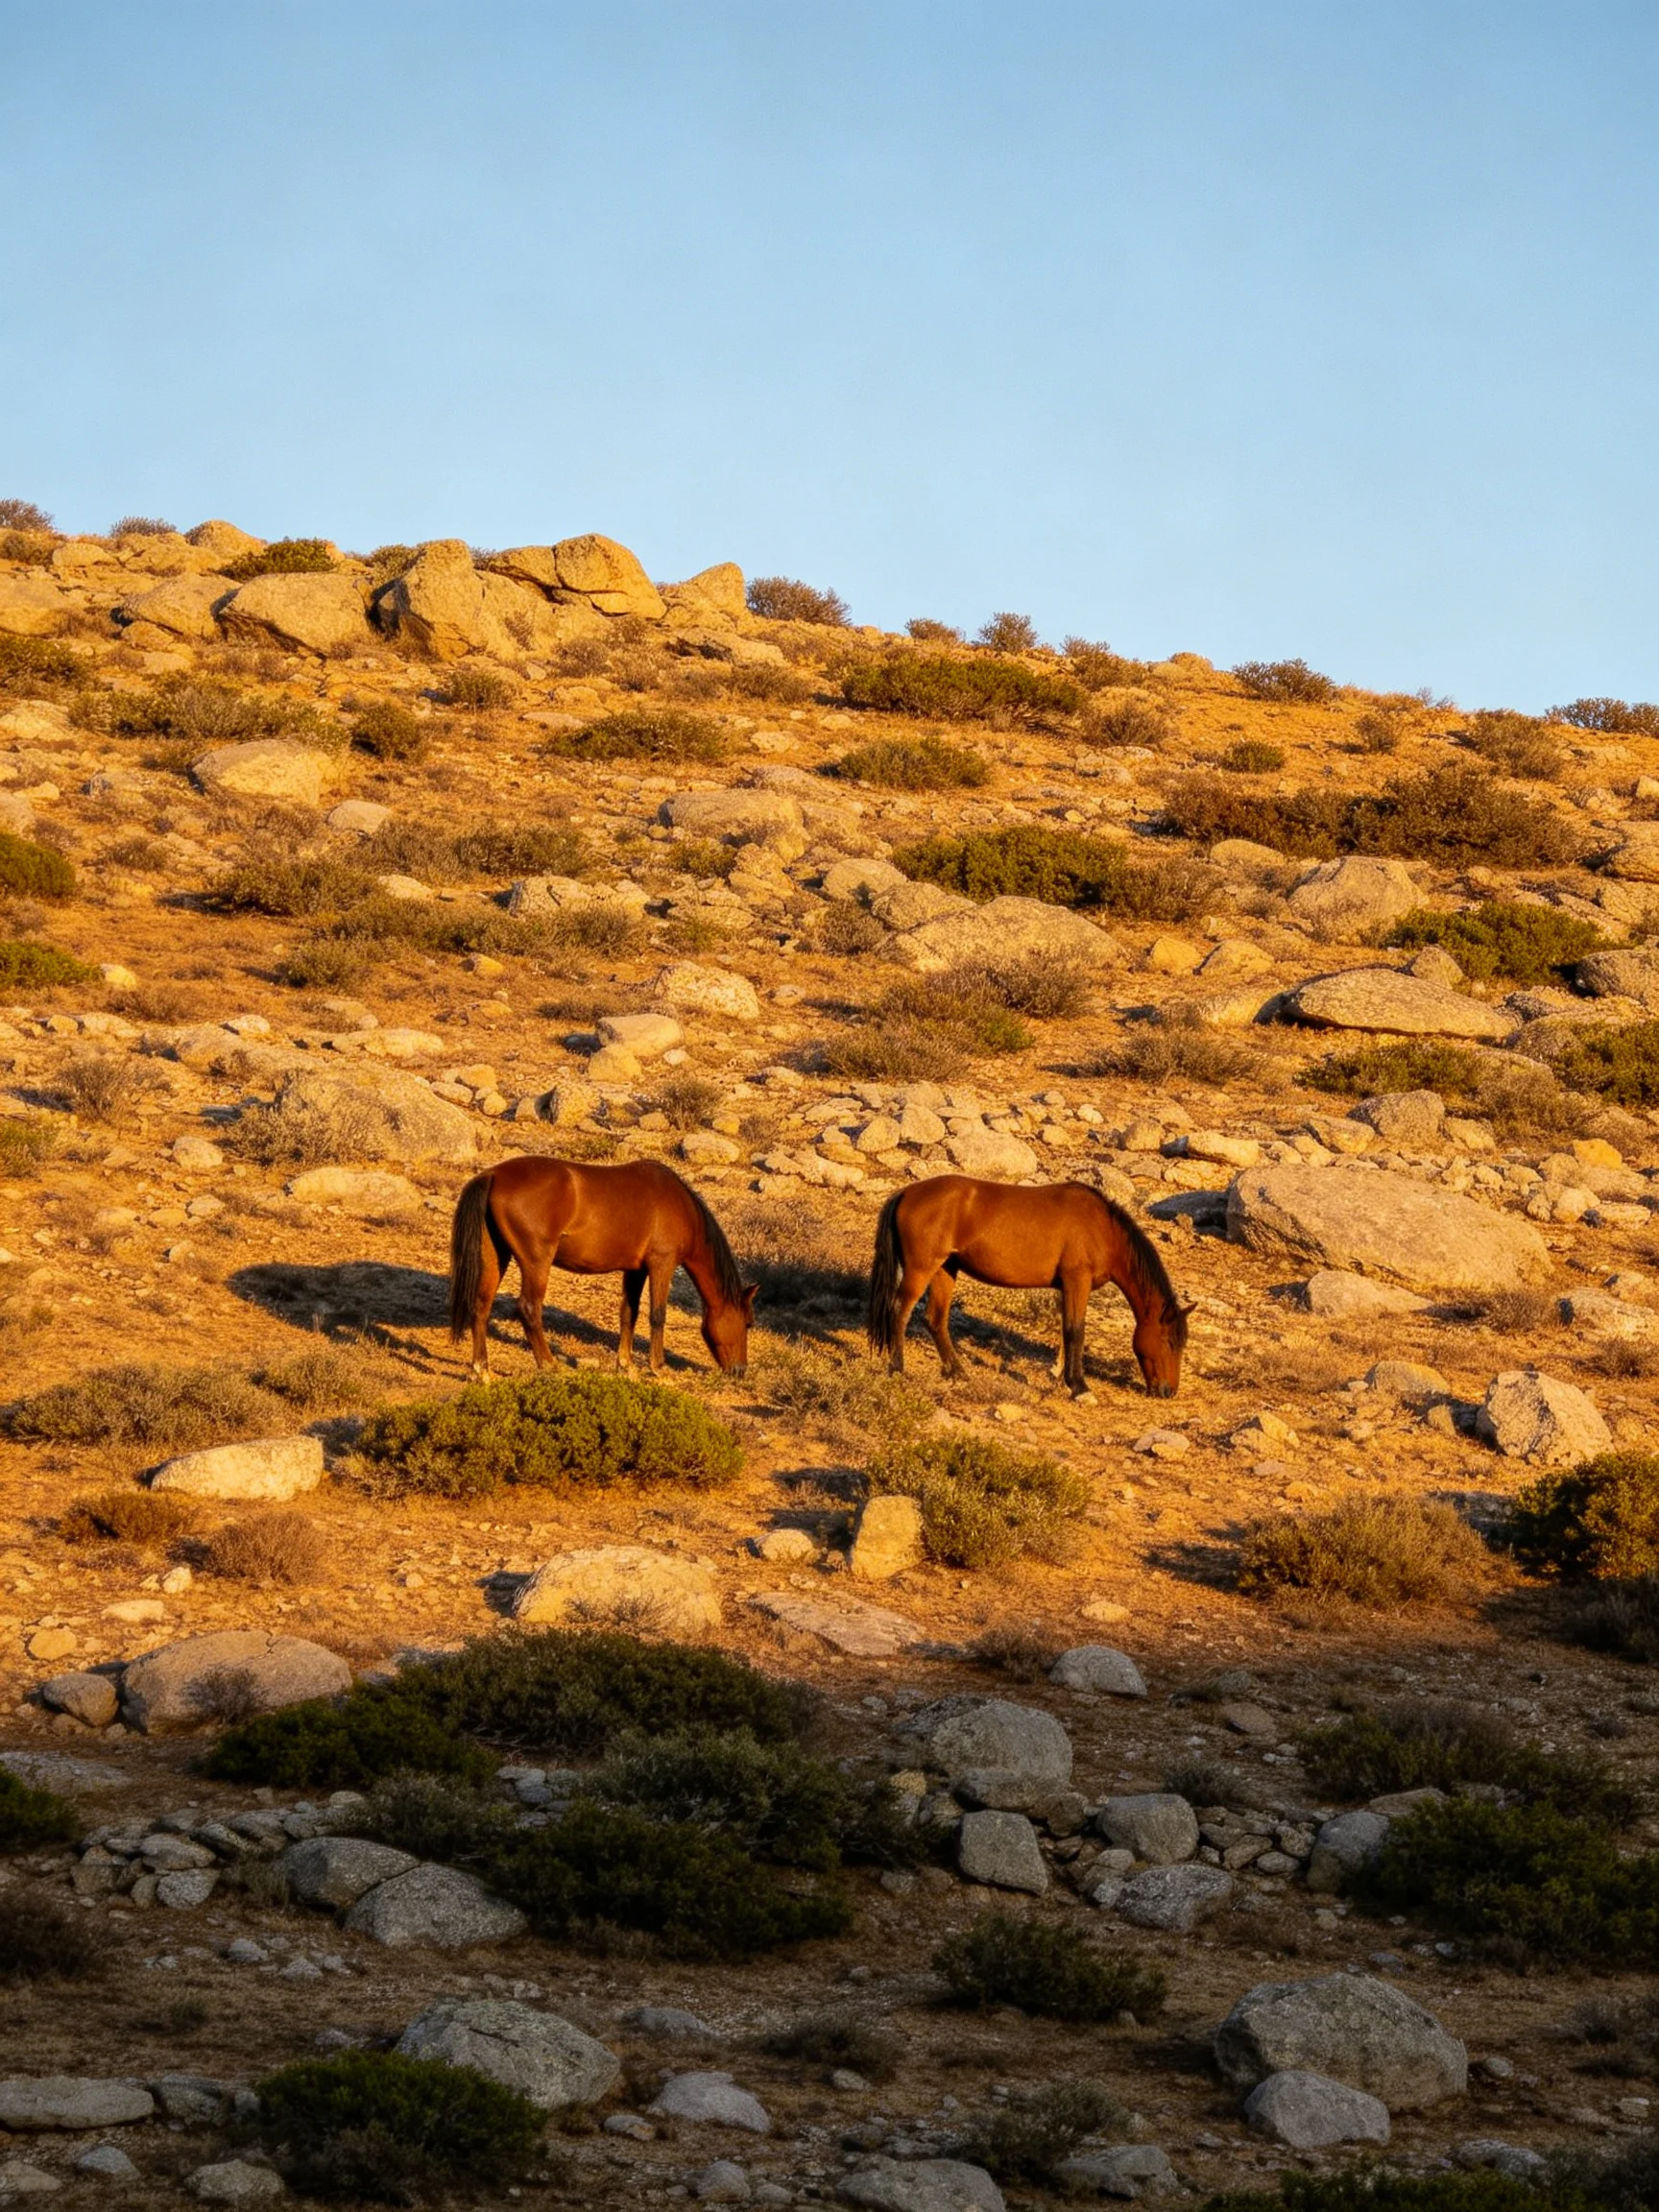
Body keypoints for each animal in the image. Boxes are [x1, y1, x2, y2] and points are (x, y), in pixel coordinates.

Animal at [448, 1156, 756, 1381]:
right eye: (748, 1323)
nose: (740, 1370)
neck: (680, 1205)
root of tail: (493, 1175)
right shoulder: (662, 1264)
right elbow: (657, 1315)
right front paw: (658, 1368)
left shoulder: (635, 1270)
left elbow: (628, 1314)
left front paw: (625, 1366)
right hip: (536, 1263)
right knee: (529, 1309)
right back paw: (549, 1365)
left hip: (496, 1257)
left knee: (481, 1306)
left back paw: (481, 1371)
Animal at [867, 1174, 1191, 1400]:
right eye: (1170, 1342)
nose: (1168, 1391)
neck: (1102, 1228)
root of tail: (906, 1193)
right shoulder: (1077, 1281)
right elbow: (1075, 1331)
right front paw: (1079, 1387)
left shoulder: (1067, 1287)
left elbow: (1066, 1332)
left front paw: (1062, 1375)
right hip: (921, 1269)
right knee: (900, 1311)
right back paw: (897, 1368)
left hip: (945, 1270)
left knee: (935, 1319)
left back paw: (957, 1372)